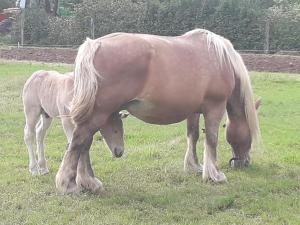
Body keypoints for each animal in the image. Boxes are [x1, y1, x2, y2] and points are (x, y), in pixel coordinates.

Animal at [55, 28, 260, 193]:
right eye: (250, 133)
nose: (245, 162)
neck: (221, 60)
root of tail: (95, 44)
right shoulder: (214, 107)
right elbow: (211, 140)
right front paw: (214, 175)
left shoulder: (194, 111)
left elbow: (193, 136)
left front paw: (194, 166)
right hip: (98, 114)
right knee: (80, 141)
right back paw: (70, 184)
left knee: (84, 143)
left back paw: (88, 182)